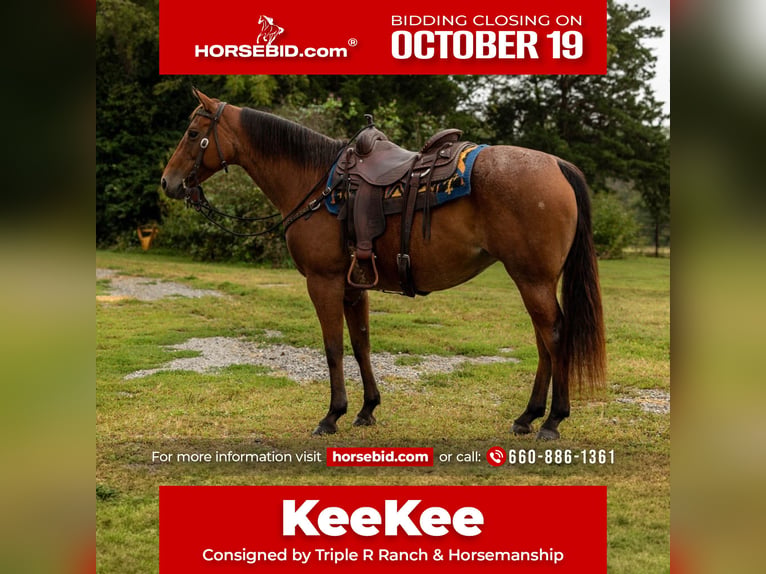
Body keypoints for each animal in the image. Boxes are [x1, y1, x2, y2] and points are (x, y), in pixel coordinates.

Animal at [160, 89, 606, 440]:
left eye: (193, 134)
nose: (168, 182)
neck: (317, 183)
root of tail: (557, 165)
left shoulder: (323, 282)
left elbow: (333, 348)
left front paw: (332, 415)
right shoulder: (353, 285)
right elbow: (361, 344)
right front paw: (366, 409)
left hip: (533, 279)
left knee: (554, 336)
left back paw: (552, 420)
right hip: (532, 280)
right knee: (544, 339)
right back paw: (528, 416)